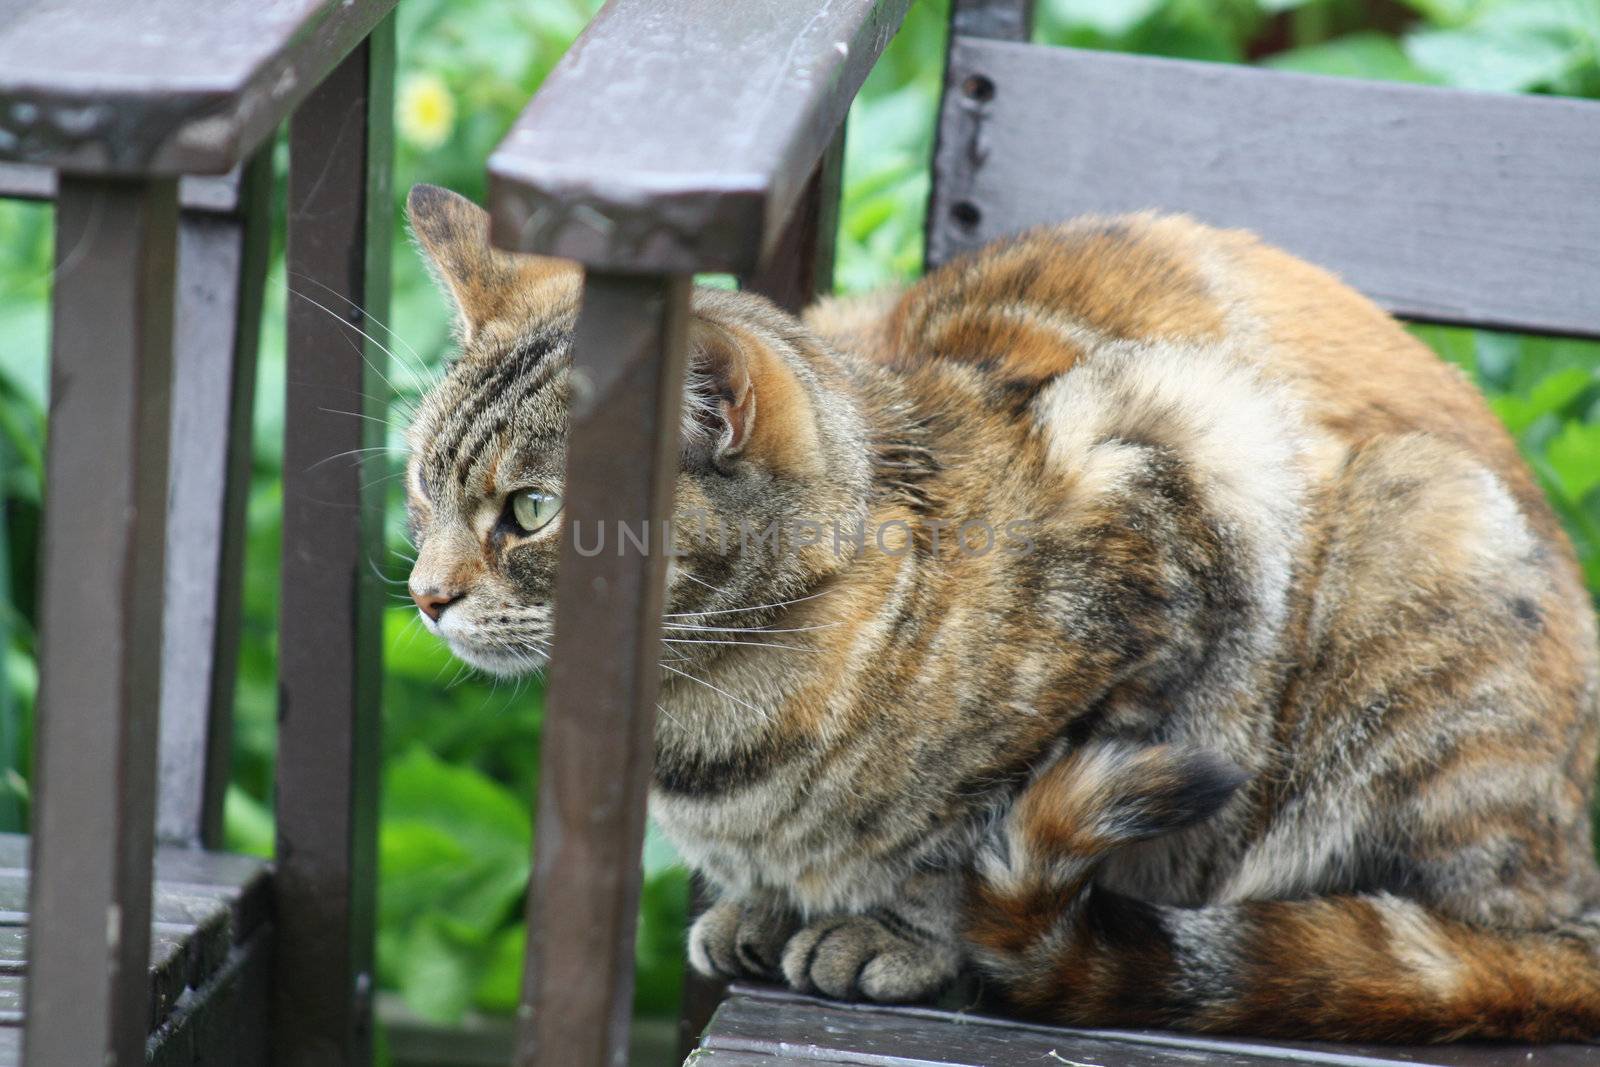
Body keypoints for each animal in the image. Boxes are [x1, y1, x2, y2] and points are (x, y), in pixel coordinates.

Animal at [400, 183, 1600, 1043]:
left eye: (531, 509)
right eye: (422, 488)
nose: (424, 593)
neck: (716, 722)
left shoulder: (1185, 511)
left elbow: (975, 834)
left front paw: (895, 930)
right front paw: (766, 905)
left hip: (1420, 536)